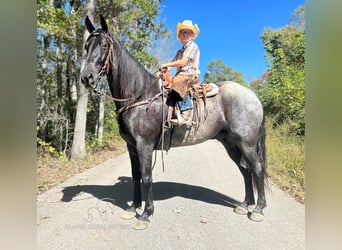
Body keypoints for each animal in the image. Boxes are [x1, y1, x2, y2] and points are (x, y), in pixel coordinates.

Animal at [80, 15, 268, 230]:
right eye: (86, 46)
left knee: (257, 169)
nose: (87, 77)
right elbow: (136, 176)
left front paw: (146, 214)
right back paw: (245, 204)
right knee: (246, 170)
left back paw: (258, 209)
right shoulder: (131, 146)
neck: (139, 95)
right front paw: (132, 208)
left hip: (247, 142)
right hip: (231, 144)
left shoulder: (144, 145)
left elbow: (146, 177)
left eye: (104, 46)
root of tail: (253, 95)